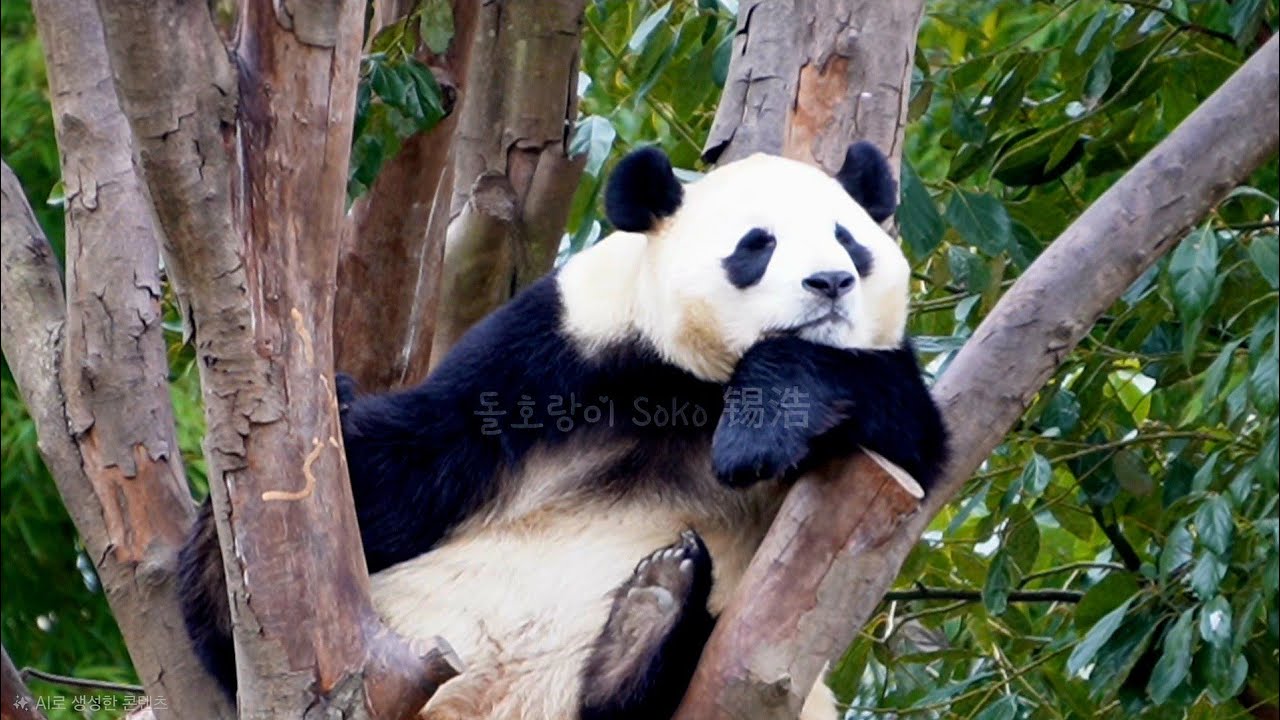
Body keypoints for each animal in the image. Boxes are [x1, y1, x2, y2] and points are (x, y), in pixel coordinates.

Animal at [178, 140, 948, 720]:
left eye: (850, 240)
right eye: (757, 245)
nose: (831, 282)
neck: (693, 388)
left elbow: (912, 437)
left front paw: (758, 429)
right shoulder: (556, 350)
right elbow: (416, 459)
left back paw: (646, 628)